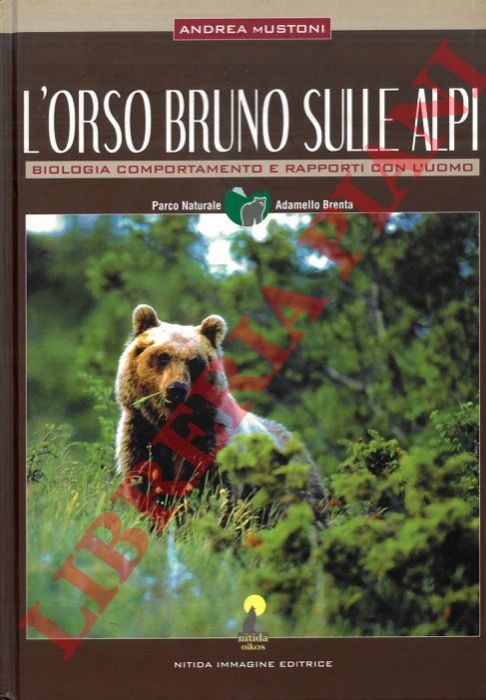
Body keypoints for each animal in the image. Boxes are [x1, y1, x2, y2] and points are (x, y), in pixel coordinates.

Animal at [115, 304, 326, 524]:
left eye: (194, 361)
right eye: (163, 357)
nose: (176, 388)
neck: (171, 422)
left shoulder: (209, 441)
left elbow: (209, 491)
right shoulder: (142, 433)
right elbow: (146, 483)